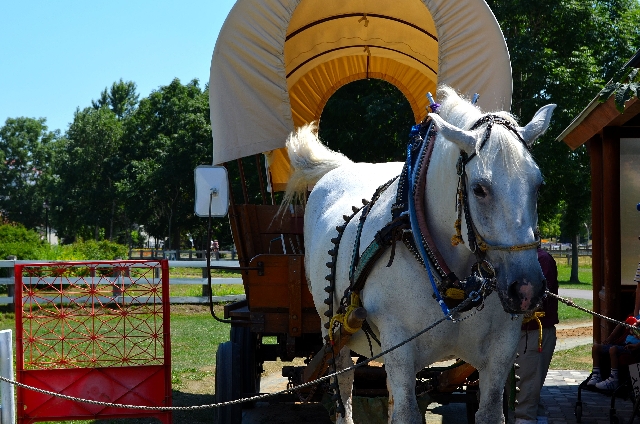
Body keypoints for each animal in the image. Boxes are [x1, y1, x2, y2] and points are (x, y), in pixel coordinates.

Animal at [284, 85, 556, 420]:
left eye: (538, 184)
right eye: (479, 189)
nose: (527, 288)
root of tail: (344, 167)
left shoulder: (502, 349)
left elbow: (490, 411)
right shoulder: (399, 347)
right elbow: (405, 412)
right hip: (333, 333)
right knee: (344, 389)